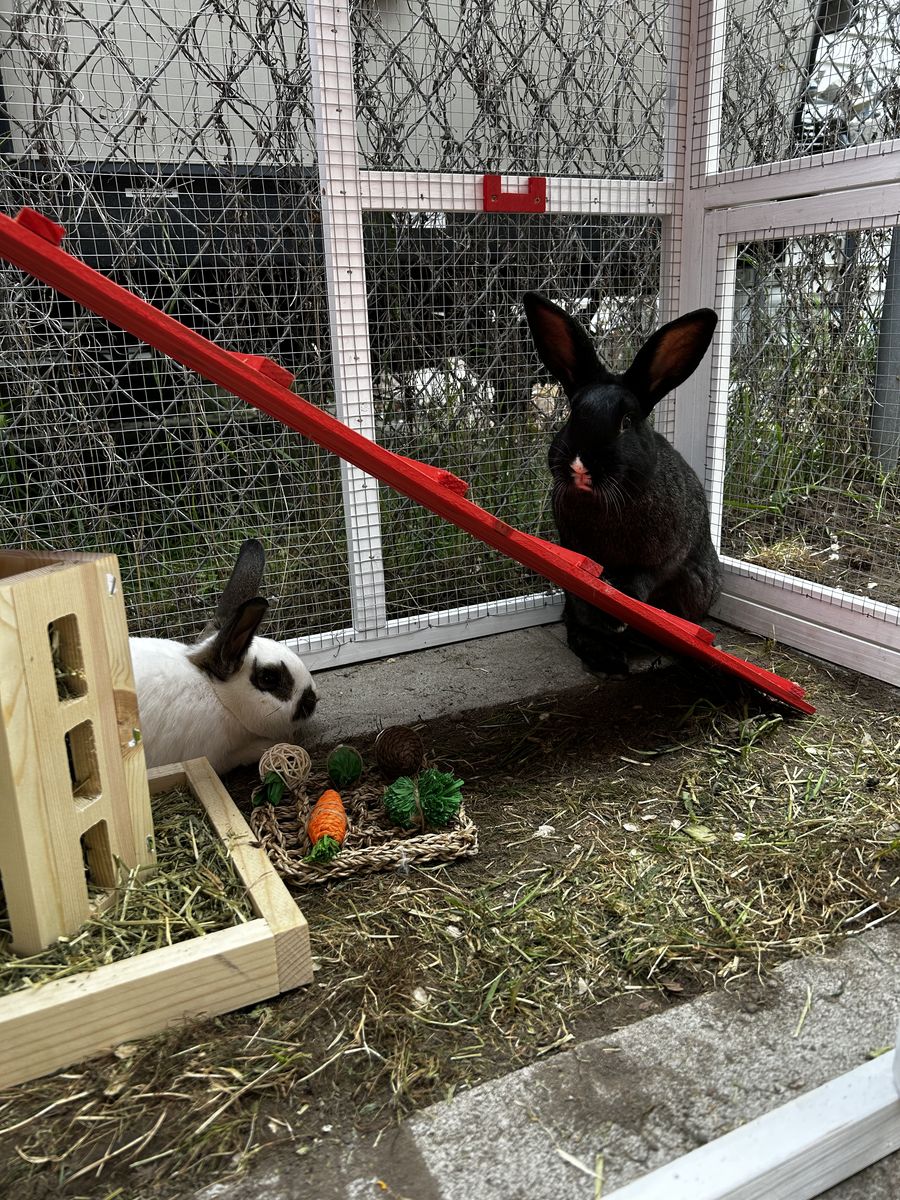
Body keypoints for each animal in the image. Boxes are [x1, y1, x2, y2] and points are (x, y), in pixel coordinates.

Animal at [523, 292, 721, 675]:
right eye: (573, 414)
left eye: (626, 422)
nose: (581, 465)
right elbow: (585, 596)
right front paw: (606, 626)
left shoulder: (661, 557)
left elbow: (640, 580)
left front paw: (618, 616)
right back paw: (605, 656)